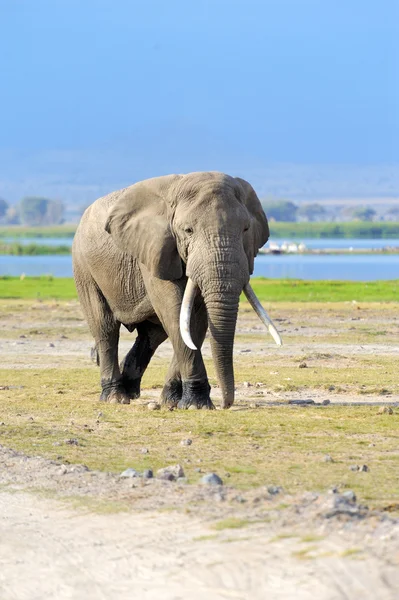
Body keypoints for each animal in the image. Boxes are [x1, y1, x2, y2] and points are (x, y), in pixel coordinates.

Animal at [73, 171, 282, 410]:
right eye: (188, 231)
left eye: (246, 229)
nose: (225, 404)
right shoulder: (154, 247)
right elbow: (175, 313)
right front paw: (196, 405)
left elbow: (194, 322)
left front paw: (173, 402)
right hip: (83, 266)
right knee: (105, 327)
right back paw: (115, 397)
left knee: (152, 335)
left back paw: (131, 389)